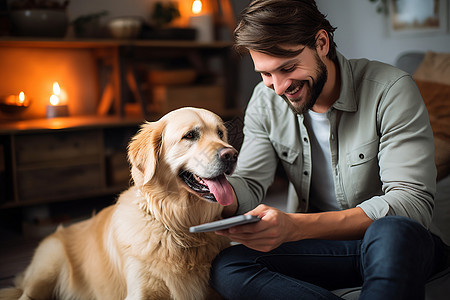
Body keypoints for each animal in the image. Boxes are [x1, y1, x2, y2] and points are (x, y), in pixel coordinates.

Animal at [0, 108, 237, 300]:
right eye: (190, 135)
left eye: (220, 134)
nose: (231, 154)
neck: (179, 227)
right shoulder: (140, 290)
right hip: (50, 260)